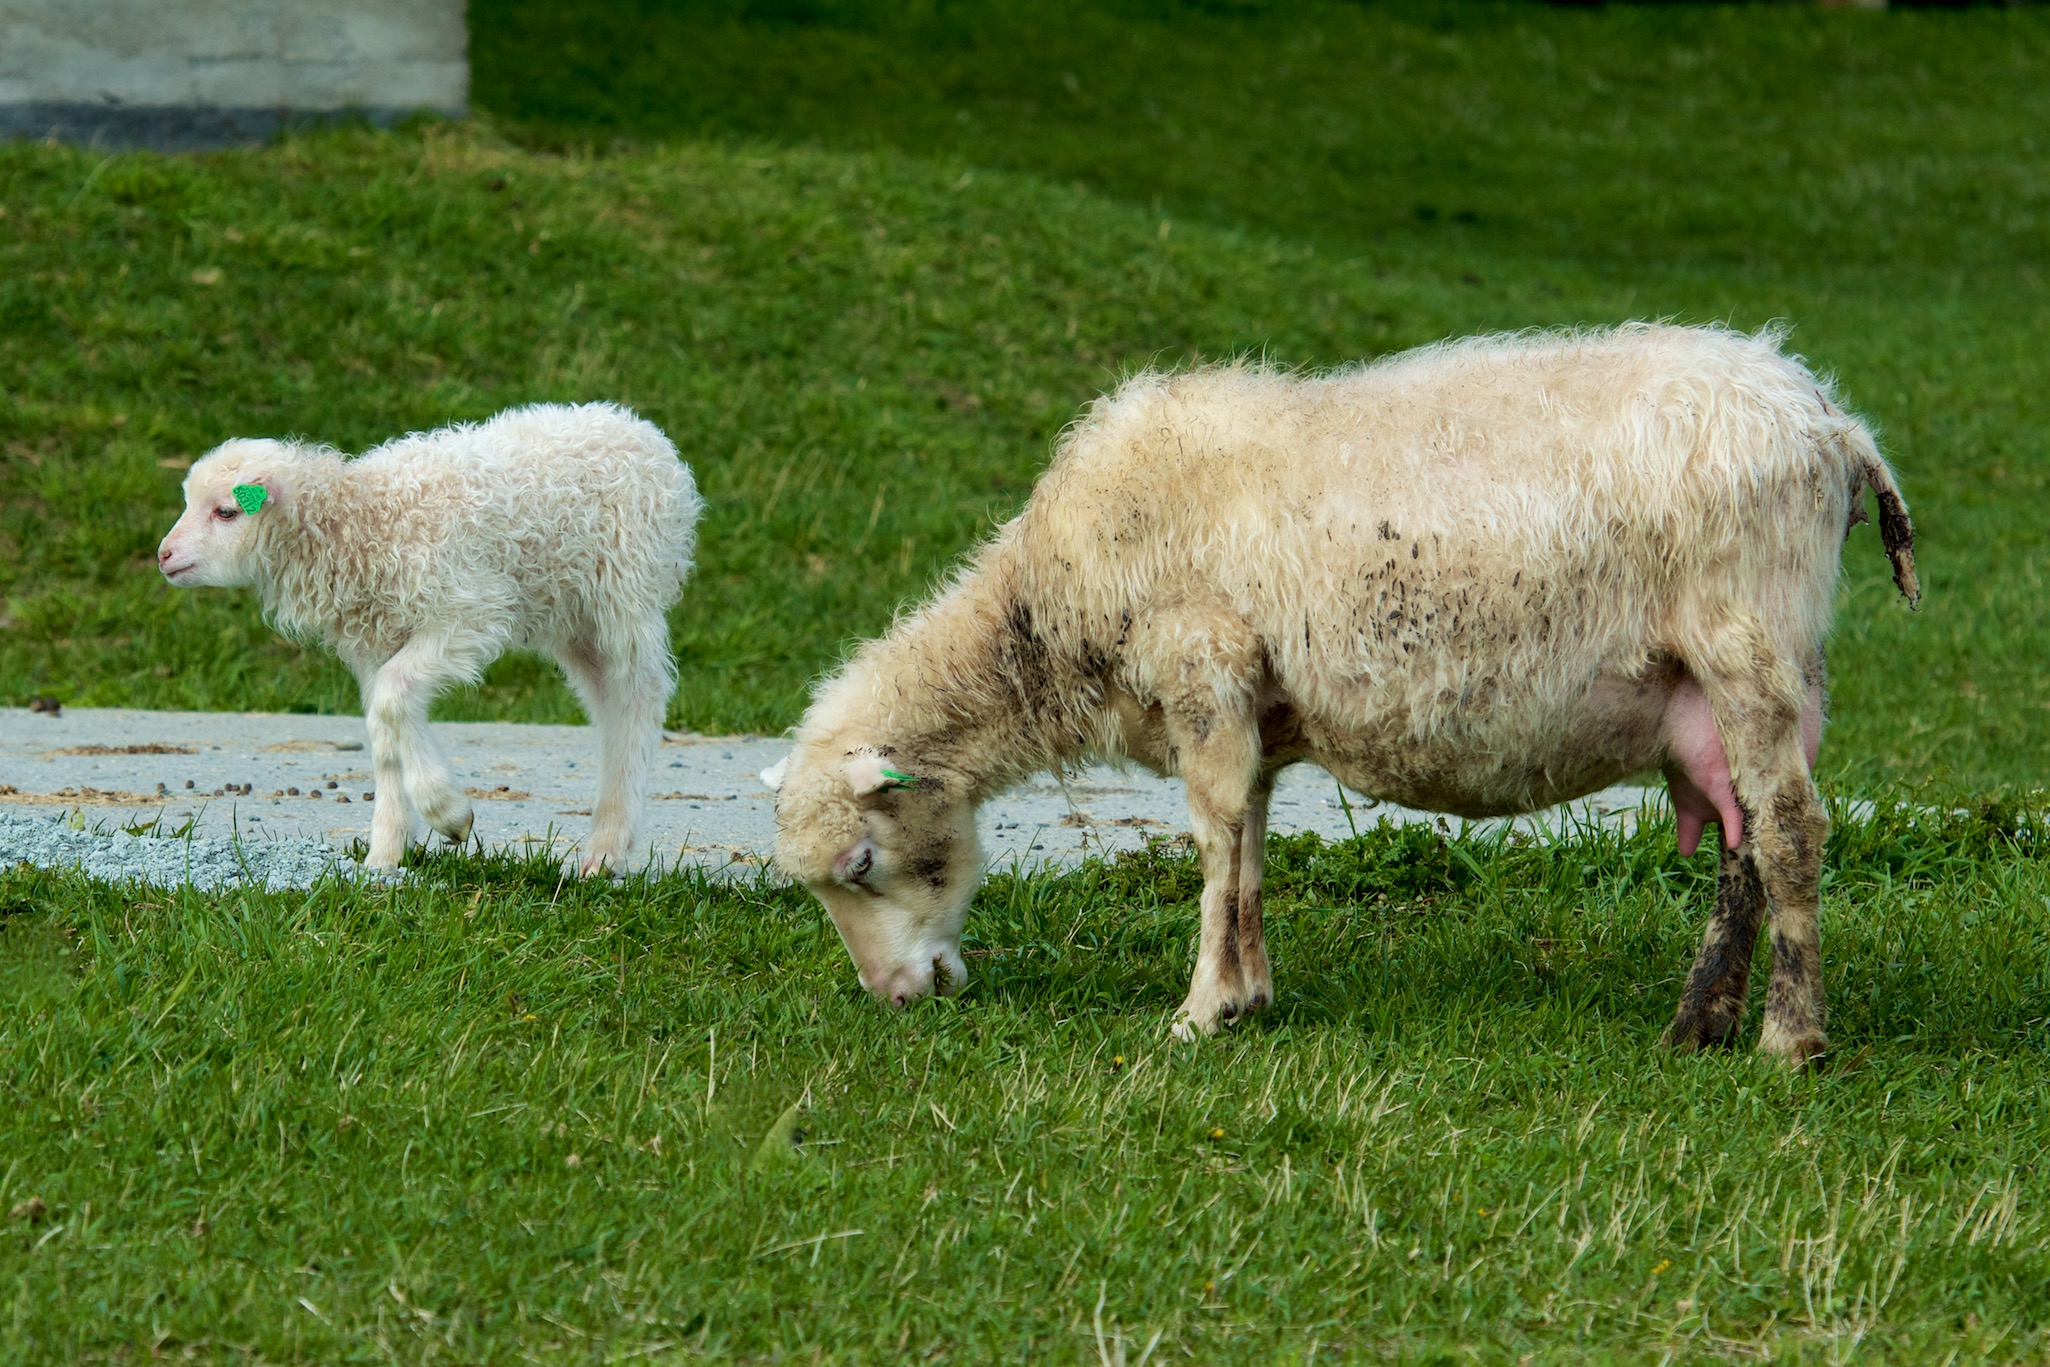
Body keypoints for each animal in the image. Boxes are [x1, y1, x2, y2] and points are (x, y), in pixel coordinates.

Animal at [157, 401, 705, 873]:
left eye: (226, 512)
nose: (164, 555)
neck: (362, 521)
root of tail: (636, 426)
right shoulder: (375, 639)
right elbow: (385, 725)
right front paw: (385, 854)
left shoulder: (469, 612)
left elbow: (394, 697)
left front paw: (447, 813)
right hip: (569, 613)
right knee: (606, 701)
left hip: (623, 589)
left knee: (639, 695)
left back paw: (607, 846)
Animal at [766, 323, 1918, 1065]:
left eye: (861, 864)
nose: (896, 996)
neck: (1046, 615)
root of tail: (1830, 419)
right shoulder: (1256, 711)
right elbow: (1249, 845)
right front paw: (1251, 993)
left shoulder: (1203, 668)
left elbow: (1212, 839)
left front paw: (1199, 1011)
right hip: (1739, 677)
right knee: (1740, 836)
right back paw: (1698, 1024)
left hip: (1749, 641)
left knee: (1788, 830)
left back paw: (1789, 1040)